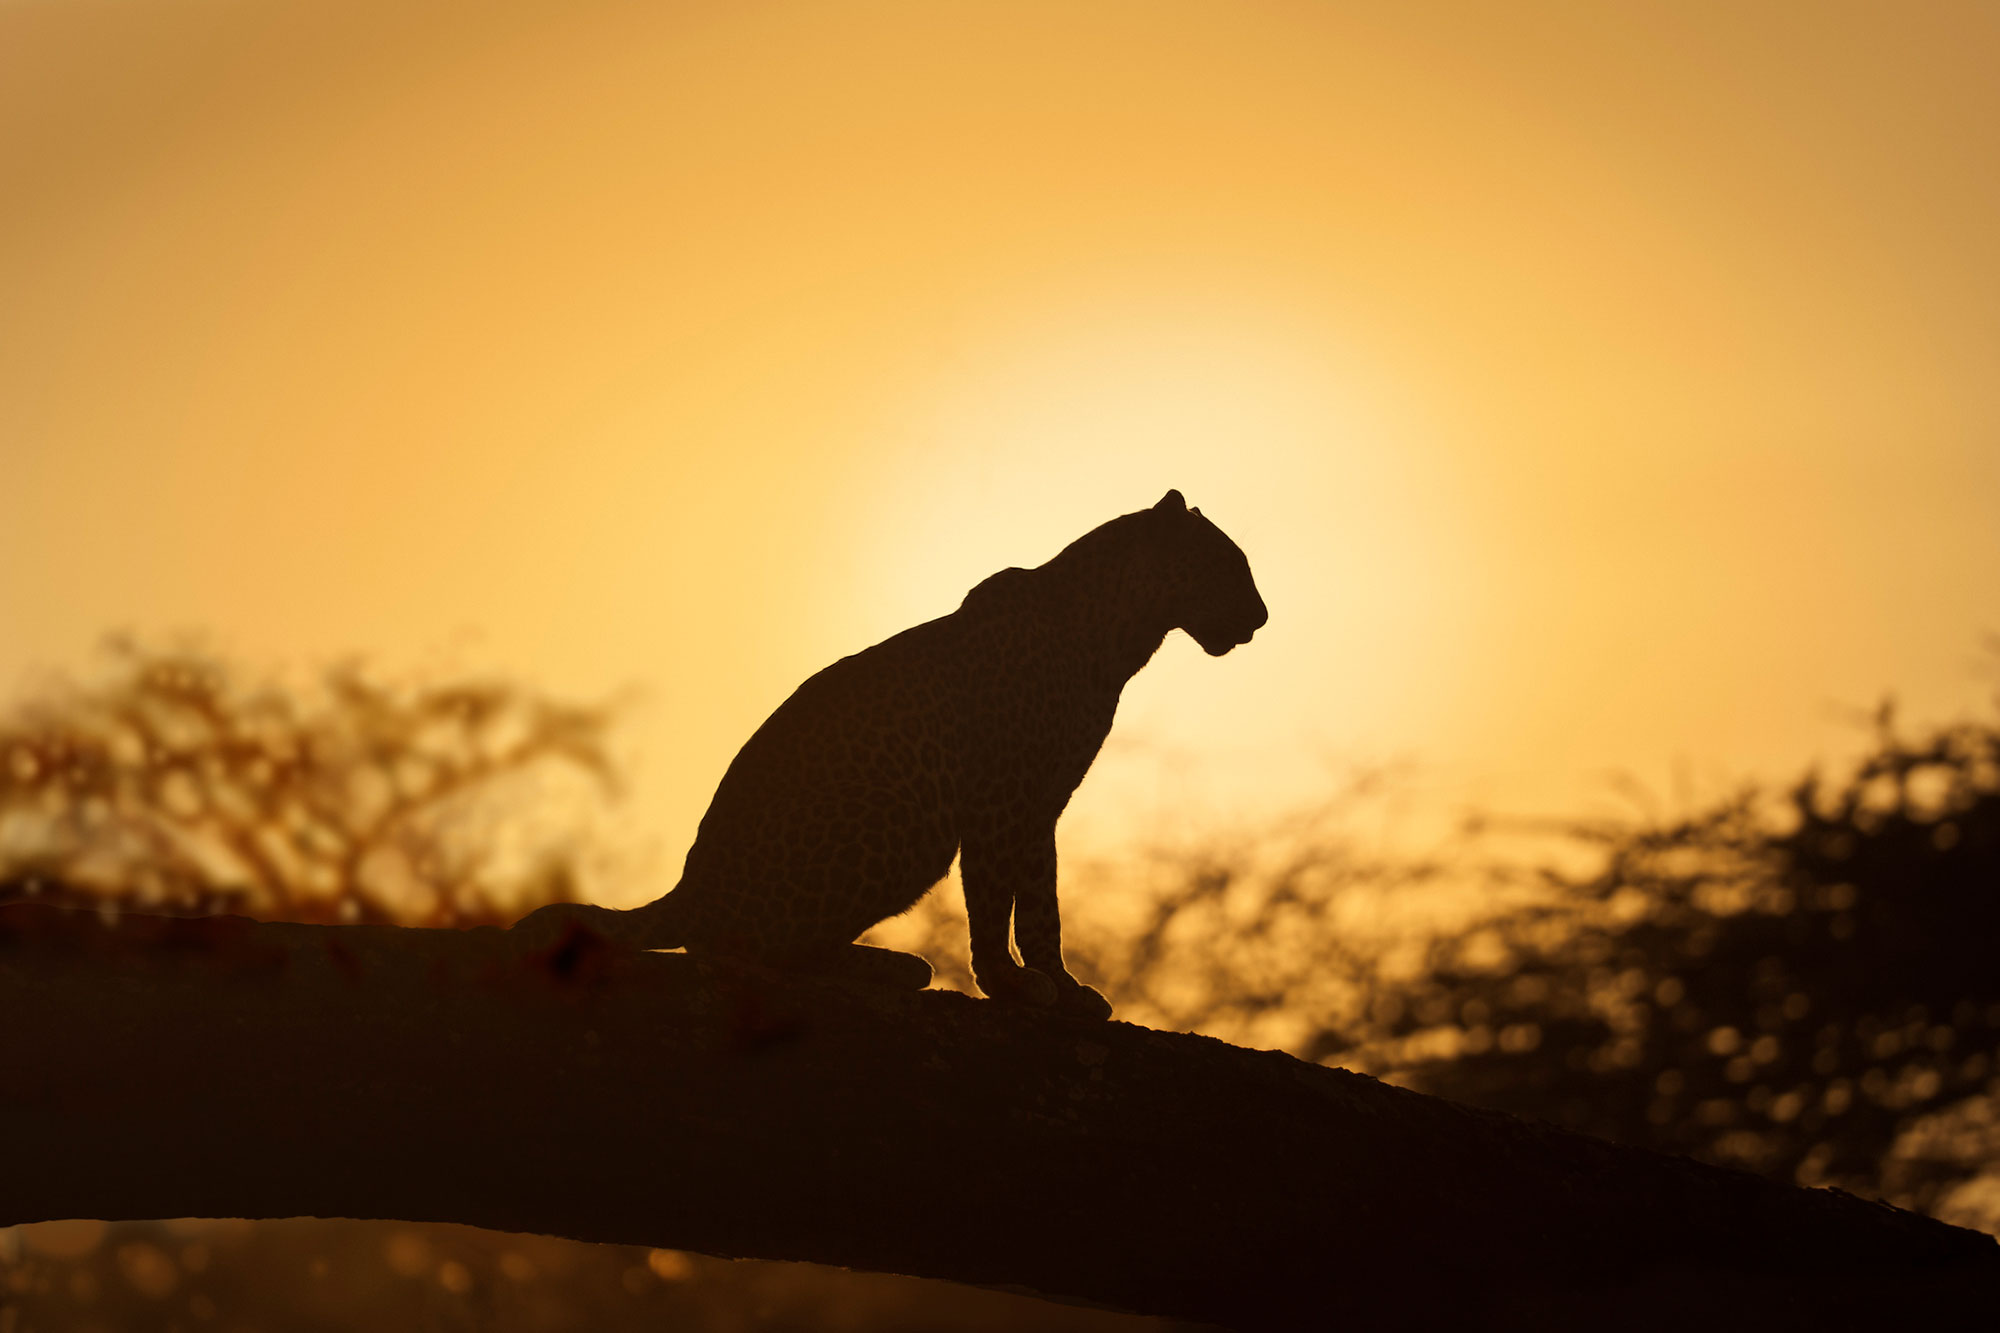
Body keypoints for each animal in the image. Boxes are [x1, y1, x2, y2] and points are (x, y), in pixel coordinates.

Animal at [516, 488, 1264, 1016]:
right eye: (1230, 565)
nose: (1261, 618)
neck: (1119, 632)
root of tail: (689, 888)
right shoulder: (997, 799)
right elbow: (993, 901)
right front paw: (1010, 987)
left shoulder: (1041, 805)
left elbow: (1041, 904)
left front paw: (1063, 987)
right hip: (911, 818)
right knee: (743, 947)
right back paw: (892, 967)